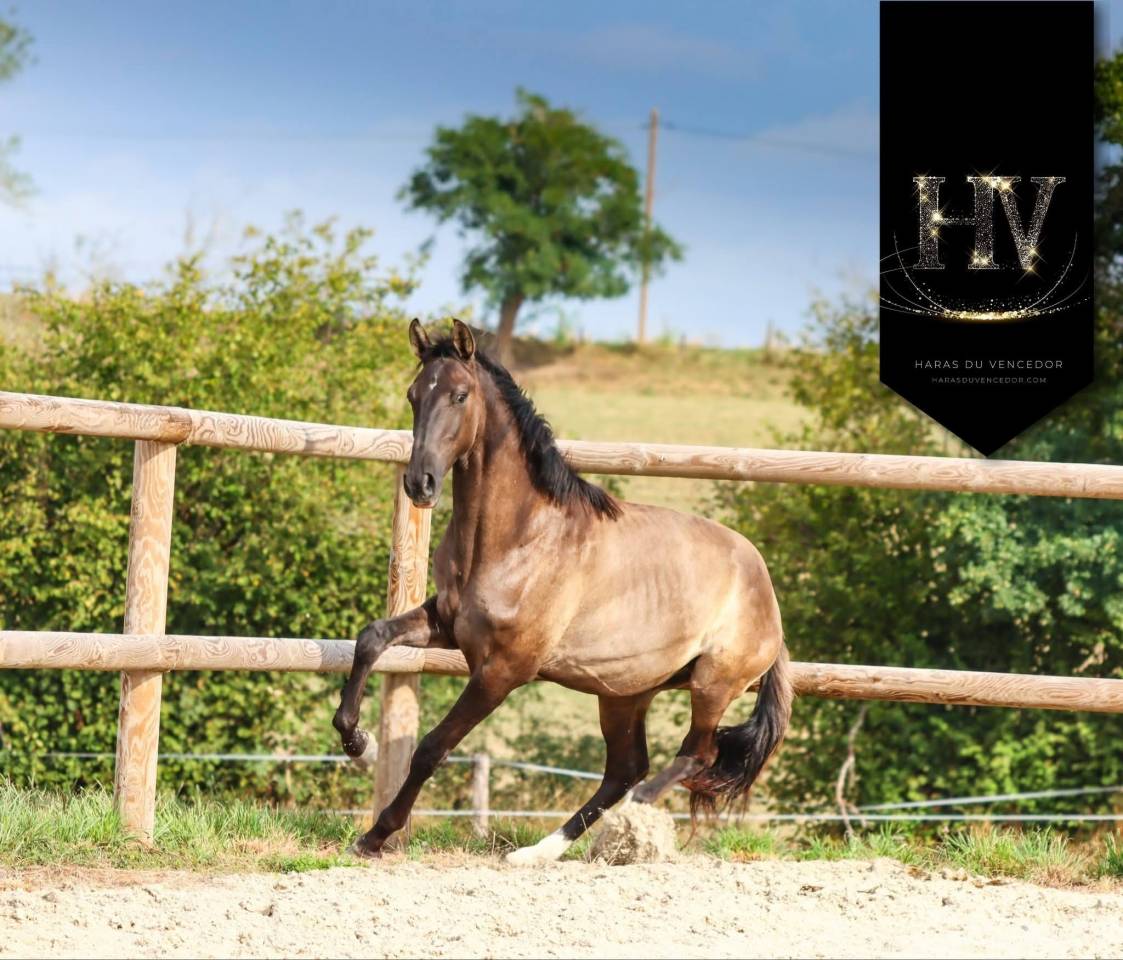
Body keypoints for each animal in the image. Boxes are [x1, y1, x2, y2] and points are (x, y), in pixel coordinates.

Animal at [332, 318, 791, 863]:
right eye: (413, 395)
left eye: (460, 396)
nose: (420, 484)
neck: (518, 538)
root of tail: (767, 594)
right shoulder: (447, 624)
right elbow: (372, 637)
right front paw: (355, 739)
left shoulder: (503, 670)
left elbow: (430, 748)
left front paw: (375, 835)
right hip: (623, 694)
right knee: (624, 770)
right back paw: (535, 852)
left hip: (711, 684)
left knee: (694, 756)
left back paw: (636, 810)